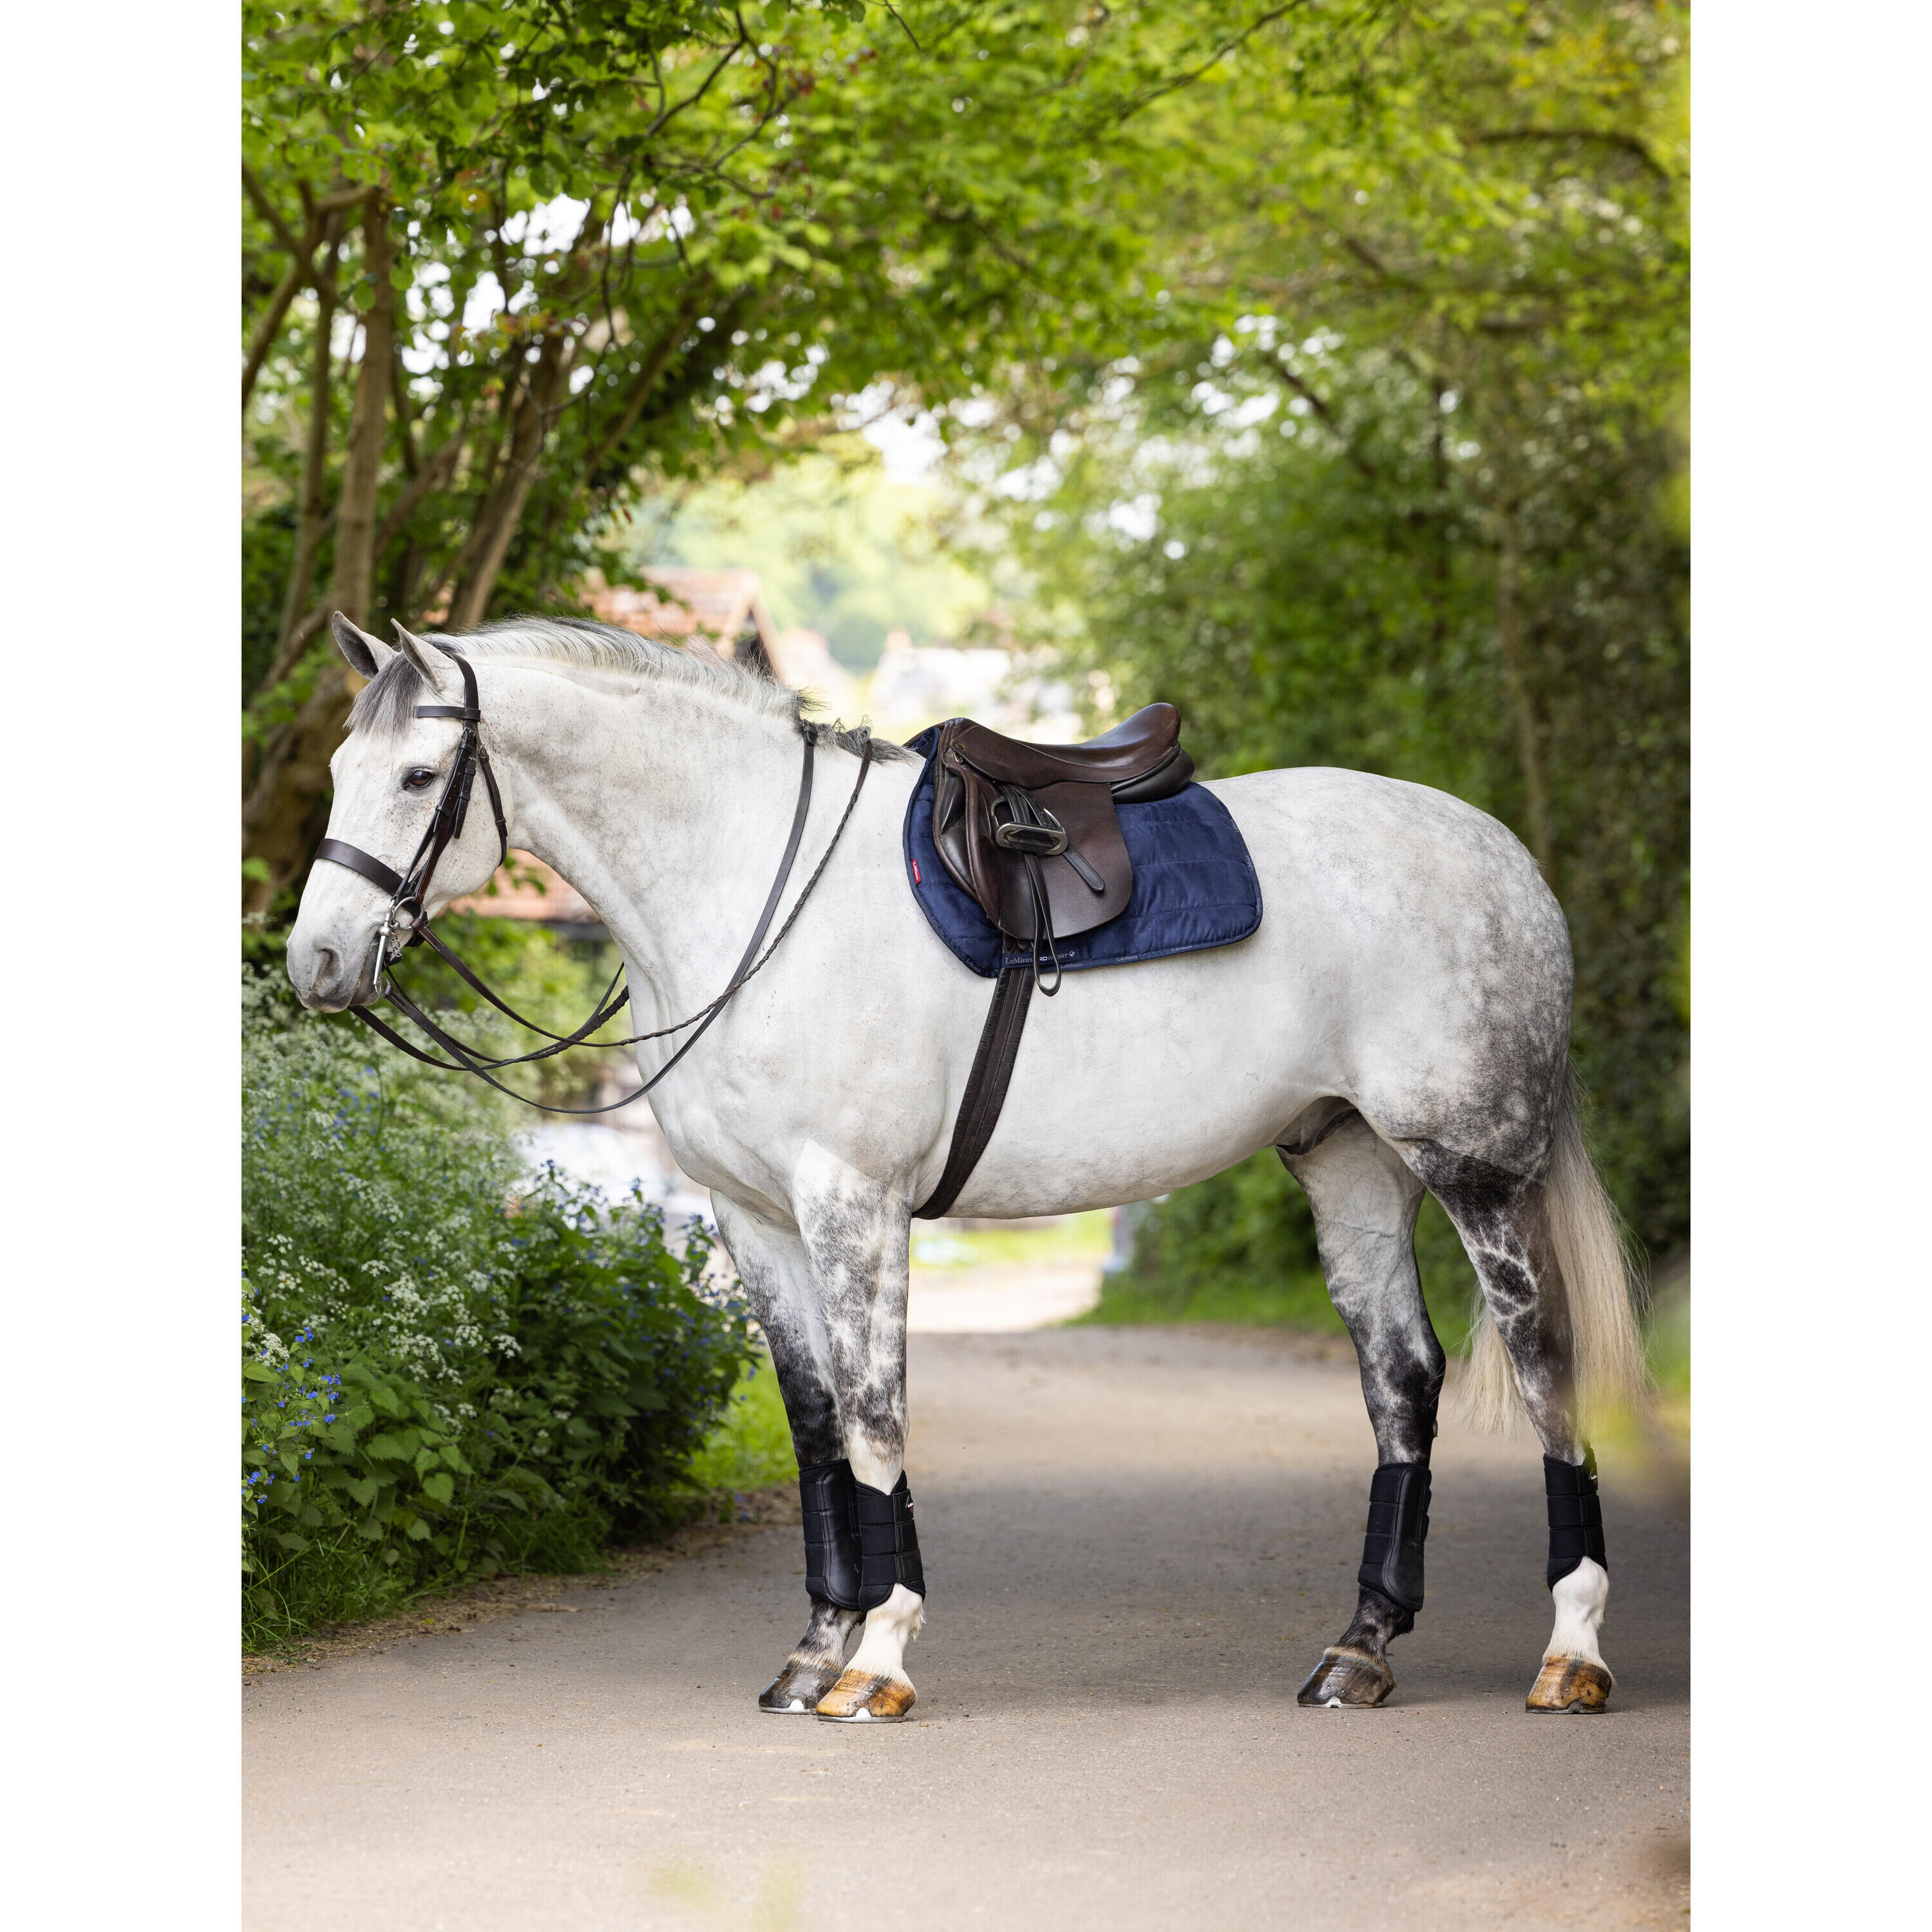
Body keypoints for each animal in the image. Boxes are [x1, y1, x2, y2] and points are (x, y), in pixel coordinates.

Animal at [287, 614, 1645, 1722]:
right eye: (342, 774)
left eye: (419, 776)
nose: (318, 964)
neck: (747, 890)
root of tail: (1502, 856)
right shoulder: (751, 1219)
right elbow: (817, 1426)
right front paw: (815, 1652)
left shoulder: (854, 1202)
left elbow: (878, 1418)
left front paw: (880, 1661)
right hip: (1350, 1162)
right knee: (1401, 1382)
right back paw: (1360, 1651)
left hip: (1473, 1170)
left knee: (1546, 1368)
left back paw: (1572, 1654)